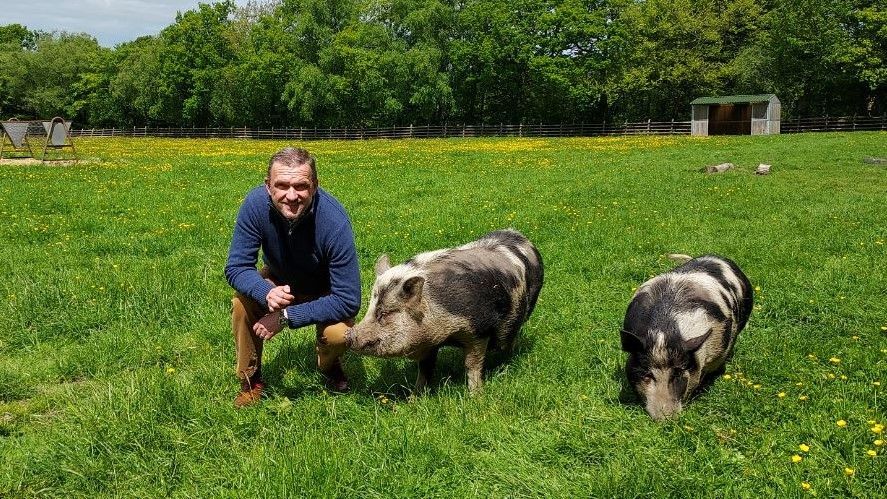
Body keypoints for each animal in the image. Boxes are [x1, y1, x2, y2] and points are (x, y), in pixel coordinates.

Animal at [346, 229, 540, 394]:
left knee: (510, 338)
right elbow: (425, 369)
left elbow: (472, 364)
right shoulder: (429, 343)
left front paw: (475, 395)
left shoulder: (479, 330)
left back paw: (506, 363)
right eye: (370, 309)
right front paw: (414, 397)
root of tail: (521, 237)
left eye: (384, 313)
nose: (350, 335)